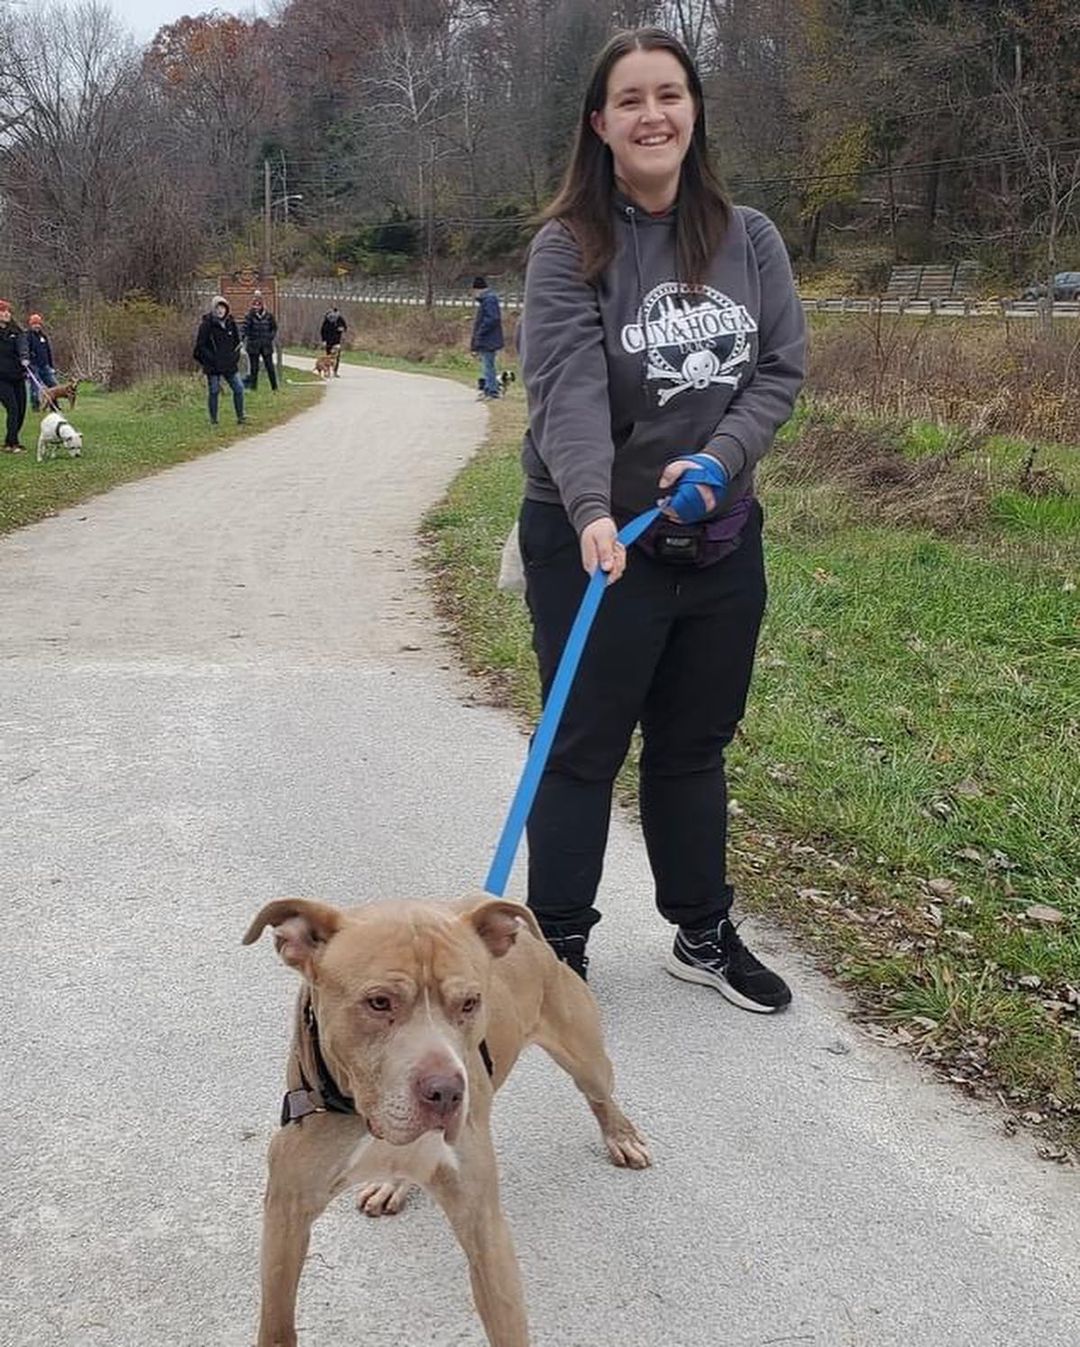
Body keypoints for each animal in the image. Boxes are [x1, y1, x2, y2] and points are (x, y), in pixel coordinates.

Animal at [243, 894, 649, 1347]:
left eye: (470, 1003)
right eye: (379, 1002)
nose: (448, 1092)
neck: (366, 1117)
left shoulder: (483, 1225)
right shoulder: (286, 1212)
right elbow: (276, 1318)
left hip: (586, 1058)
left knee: (599, 1093)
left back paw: (622, 1135)